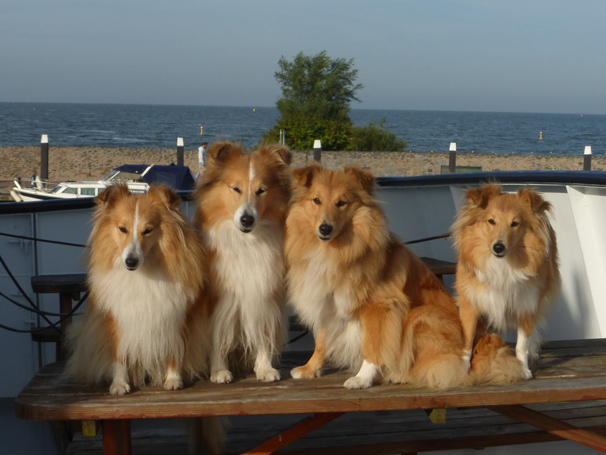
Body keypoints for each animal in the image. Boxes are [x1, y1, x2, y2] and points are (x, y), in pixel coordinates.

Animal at [67, 183, 211, 398]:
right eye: (122, 229)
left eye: (148, 230)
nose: (130, 262)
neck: (144, 273)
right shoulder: (117, 319)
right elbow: (119, 355)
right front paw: (119, 384)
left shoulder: (176, 317)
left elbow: (174, 349)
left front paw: (173, 379)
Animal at [192, 142, 292, 384]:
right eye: (235, 188)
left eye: (261, 190)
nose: (247, 220)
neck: (246, 241)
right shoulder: (216, 300)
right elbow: (217, 336)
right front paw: (219, 371)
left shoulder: (264, 295)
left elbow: (263, 333)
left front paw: (265, 368)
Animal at [284, 166, 524, 390]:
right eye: (316, 200)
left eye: (341, 203)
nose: (325, 228)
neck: (337, 250)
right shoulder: (330, 301)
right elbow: (322, 340)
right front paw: (310, 368)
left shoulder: (380, 307)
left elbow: (371, 345)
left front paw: (362, 378)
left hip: (422, 316)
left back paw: (401, 375)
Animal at [454, 183, 564, 380]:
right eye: (491, 221)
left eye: (515, 223)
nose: (498, 247)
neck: (502, 264)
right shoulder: (470, 302)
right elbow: (467, 342)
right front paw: (463, 370)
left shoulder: (527, 305)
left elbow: (522, 345)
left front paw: (522, 369)